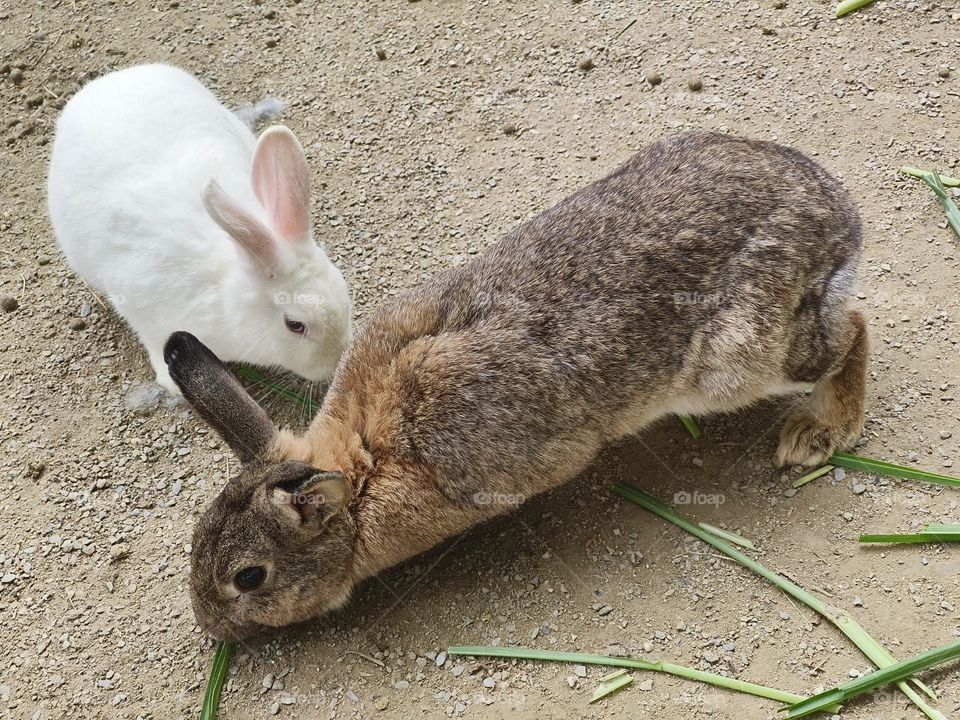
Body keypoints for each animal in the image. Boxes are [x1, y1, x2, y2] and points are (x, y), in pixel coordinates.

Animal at [47, 63, 352, 394]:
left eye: (343, 287)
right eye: (295, 325)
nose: (335, 363)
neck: (227, 297)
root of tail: (106, 81)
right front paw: (171, 383)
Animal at [164, 131, 867, 640]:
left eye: (249, 578)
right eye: (196, 545)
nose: (210, 629)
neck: (364, 465)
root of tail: (839, 213)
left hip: (738, 360)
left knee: (851, 330)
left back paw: (819, 432)